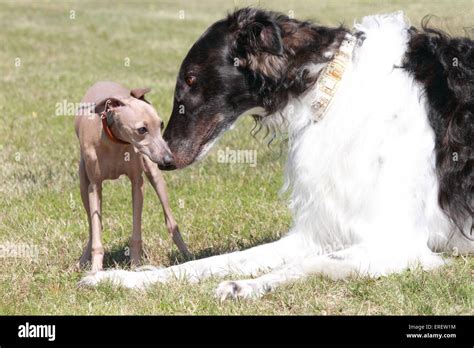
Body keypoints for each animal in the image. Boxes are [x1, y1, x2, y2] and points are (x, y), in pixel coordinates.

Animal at [74, 81, 189, 272]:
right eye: (141, 129)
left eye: (161, 125)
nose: (169, 160)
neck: (114, 140)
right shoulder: (94, 186)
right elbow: (96, 229)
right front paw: (96, 271)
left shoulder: (137, 183)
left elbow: (136, 232)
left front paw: (136, 267)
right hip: (83, 183)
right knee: (93, 225)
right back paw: (83, 260)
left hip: (153, 171)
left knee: (171, 222)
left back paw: (187, 255)